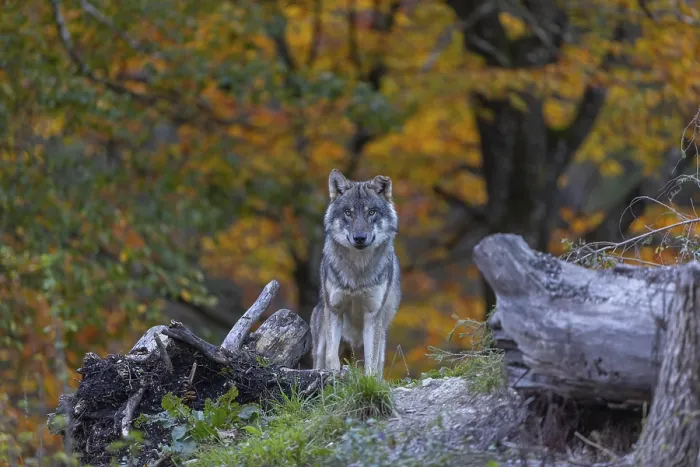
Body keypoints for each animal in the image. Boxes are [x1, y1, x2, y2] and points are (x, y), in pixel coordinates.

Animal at [310, 169, 401, 379]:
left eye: (371, 212)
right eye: (348, 212)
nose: (359, 238)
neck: (357, 272)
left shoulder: (372, 316)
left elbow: (371, 362)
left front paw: (369, 380)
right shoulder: (335, 310)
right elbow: (331, 356)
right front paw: (333, 376)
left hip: (381, 330)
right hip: (321, 332)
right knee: (319, 358)